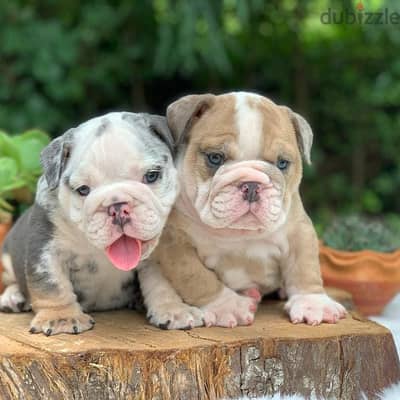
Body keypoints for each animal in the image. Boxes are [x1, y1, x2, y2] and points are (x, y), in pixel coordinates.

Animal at [0, 111, 178, 334]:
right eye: (83, 189)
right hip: (6, 257)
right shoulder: (46, 250)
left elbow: (162, 281)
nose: (117, 206)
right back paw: (12, 297)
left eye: (152, 176)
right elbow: (52, 284)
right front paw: (61, 318)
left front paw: (173, 309)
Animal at [141, 93, 346, 328]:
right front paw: (227, 306)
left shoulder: (298, 230)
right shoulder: (175, 242)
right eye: (215, 158)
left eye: (282, 163)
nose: (252, 185)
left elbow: (305, 266)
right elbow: (197, 277)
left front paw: (313, 303)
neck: (238, 235)